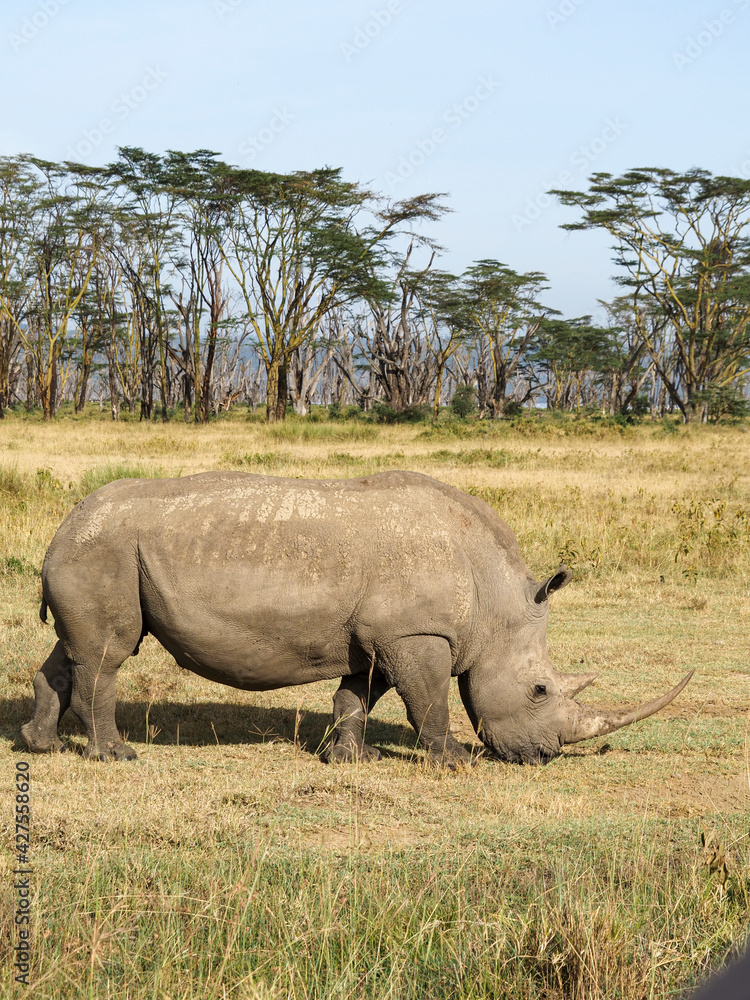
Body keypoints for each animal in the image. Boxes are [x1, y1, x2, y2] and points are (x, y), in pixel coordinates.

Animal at [21, 470, 692, 765]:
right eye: (539, 690)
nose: (543, 756)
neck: (495, 600)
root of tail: (61, 527)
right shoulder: (416, 632)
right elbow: (429, 702)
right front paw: (454, 761)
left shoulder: (379, 636)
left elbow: (356, 696)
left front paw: (346, 760)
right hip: (104, 550)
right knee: (109, 654)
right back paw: (116, 756)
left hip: (92, 551)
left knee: (76, 650)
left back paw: (40, 745)